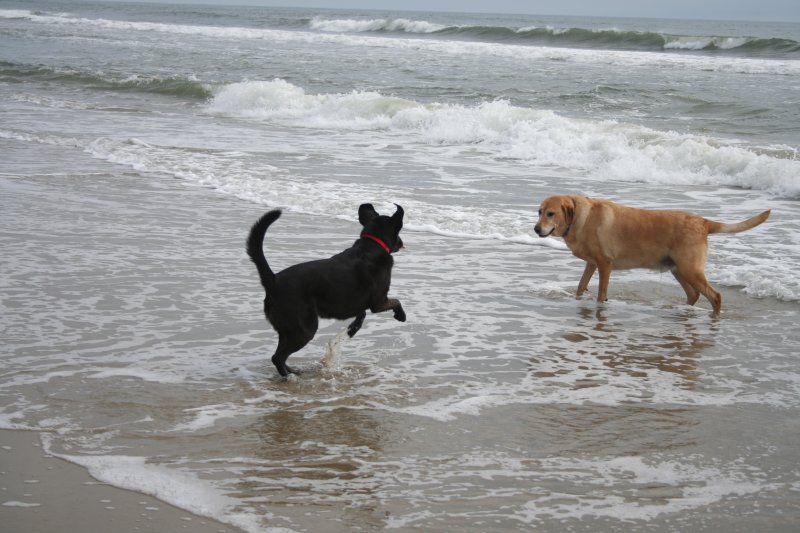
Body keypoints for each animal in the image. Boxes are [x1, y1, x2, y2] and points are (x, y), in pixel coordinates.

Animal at [247, 202, 406, 376]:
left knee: (279, 355)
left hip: (286, 329)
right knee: (277, 357)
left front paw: (351, 330)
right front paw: (401, 315)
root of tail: (273, 280)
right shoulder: (379, 302)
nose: (401, 242)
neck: (372, 245)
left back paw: (293, 371)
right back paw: (289, 376)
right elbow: (396, 301)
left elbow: (361, 315)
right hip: (304, 329)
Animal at [536, 195, 772, 314]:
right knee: (694, 295)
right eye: (539, 212)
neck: (579, 219)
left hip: (689, 269)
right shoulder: (592, 264)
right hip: (678, 269)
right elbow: (580, 286)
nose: (536, 229)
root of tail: (703, 222)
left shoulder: (604, 264)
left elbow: (601, 294)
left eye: (551, 214)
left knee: (715, 296)